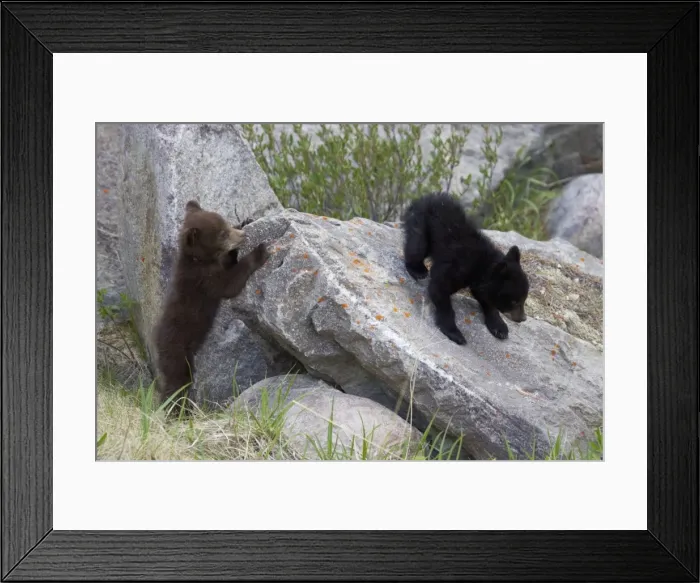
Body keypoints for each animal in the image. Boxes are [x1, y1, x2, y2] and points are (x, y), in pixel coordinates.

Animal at [152, 200, 269, 416]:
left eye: (227, 224)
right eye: (222, 234)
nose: (243, 235)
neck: (199, 260)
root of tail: (156, 341)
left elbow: (228, 264)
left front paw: (246, 221)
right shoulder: (204, 280)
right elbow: (230, 285)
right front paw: (260, 251)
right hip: (178, 350)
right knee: (177, 382)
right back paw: (175, 412)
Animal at [402, 192, 529, 346]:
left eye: (524, 299)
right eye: (515, 301)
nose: (523, 318)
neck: (481, 266)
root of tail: (423, 197)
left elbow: (486, 299)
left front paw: (500, 328)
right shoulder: (458, 268)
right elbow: (439, 288)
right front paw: (455, 333)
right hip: (422, 222)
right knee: (417, 246)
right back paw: (418, 270)